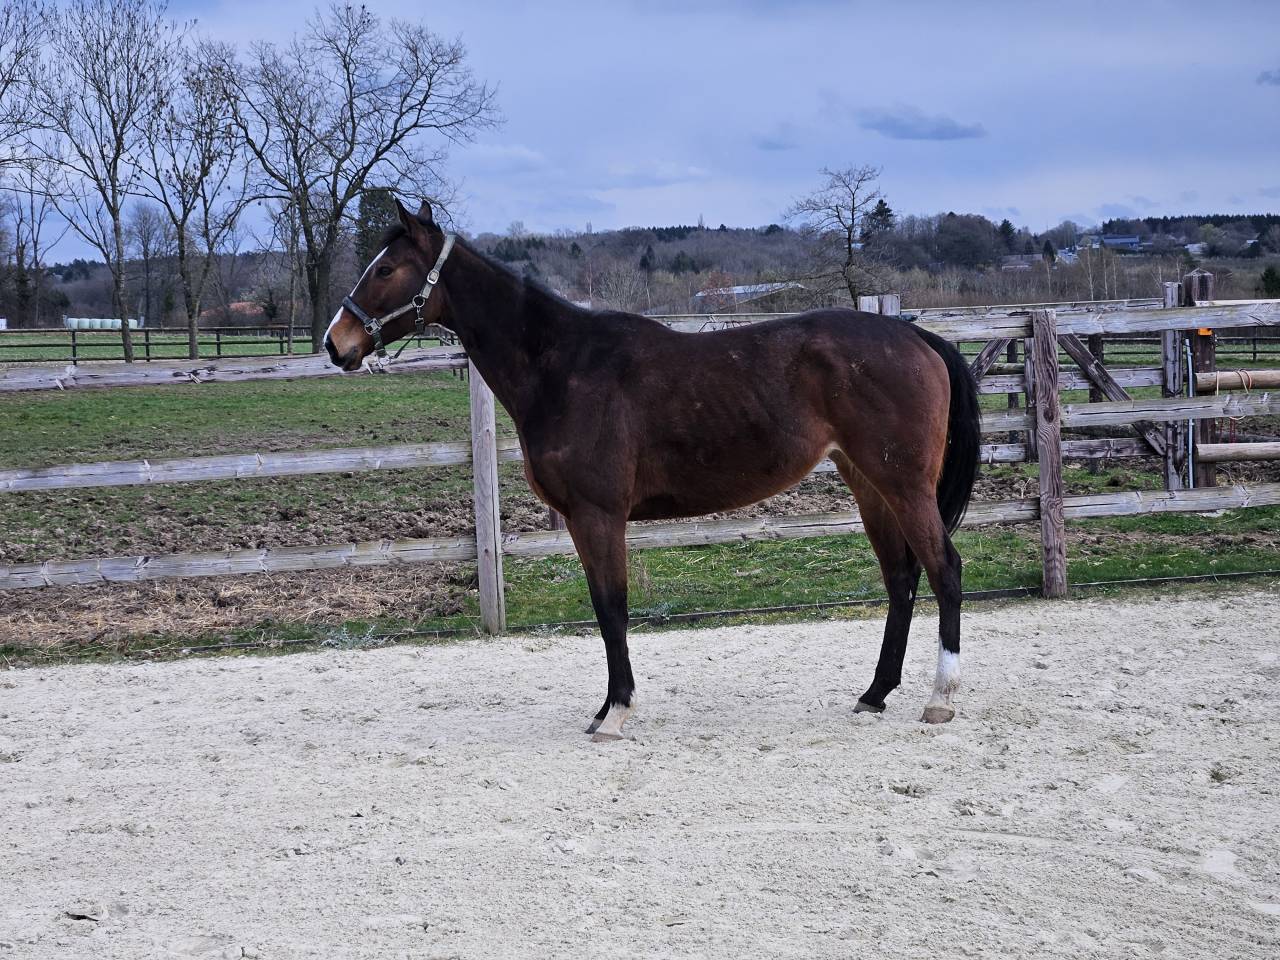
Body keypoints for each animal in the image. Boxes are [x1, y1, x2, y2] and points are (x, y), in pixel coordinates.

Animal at [325, 199, 981, 740]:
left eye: (386, 269)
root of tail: (914, 336)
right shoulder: (580, 520)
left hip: (903, 484)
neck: (564, 366)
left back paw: (940, 699)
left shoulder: (599, 515)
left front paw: (616, 712)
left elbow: (612, 607)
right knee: (901, 579)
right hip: (869, 484)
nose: (337, 343)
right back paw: (874, 694)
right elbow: (602, 608)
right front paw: (604, 709)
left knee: (943, 569)